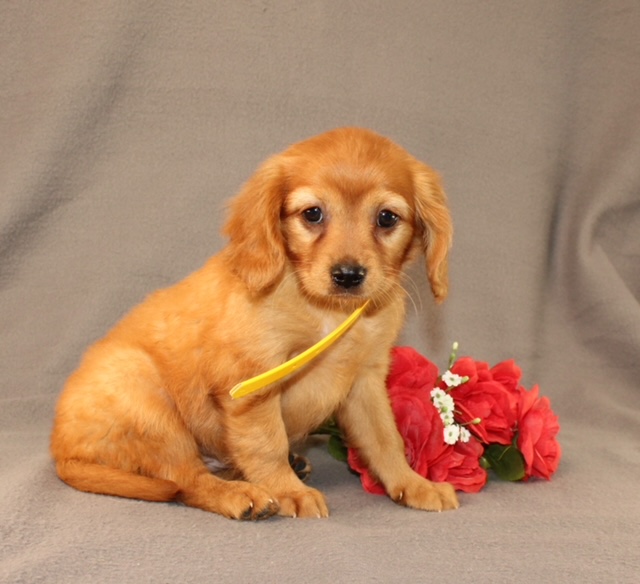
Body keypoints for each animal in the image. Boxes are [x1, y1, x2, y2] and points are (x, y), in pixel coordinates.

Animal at [51, 128, 460, 520]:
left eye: (387, 217)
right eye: (313, 214)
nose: (348, 275)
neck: (331, 312)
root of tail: (61, 449)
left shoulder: (367, 381)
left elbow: (385, 440)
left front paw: (413, 483)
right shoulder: (252, 382)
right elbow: (267, 444)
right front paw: (289, 491)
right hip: (148, 402)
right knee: (187, 481)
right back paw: (242, 495)